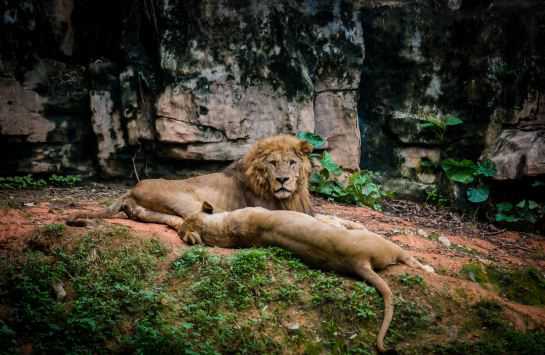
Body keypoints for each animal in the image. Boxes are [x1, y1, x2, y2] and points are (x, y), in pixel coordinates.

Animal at [181, 202, 436, 354]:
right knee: (408, 258)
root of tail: (358, 261)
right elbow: (336, 219)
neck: (223, 229)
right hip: (384, 243)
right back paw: (429, 269)